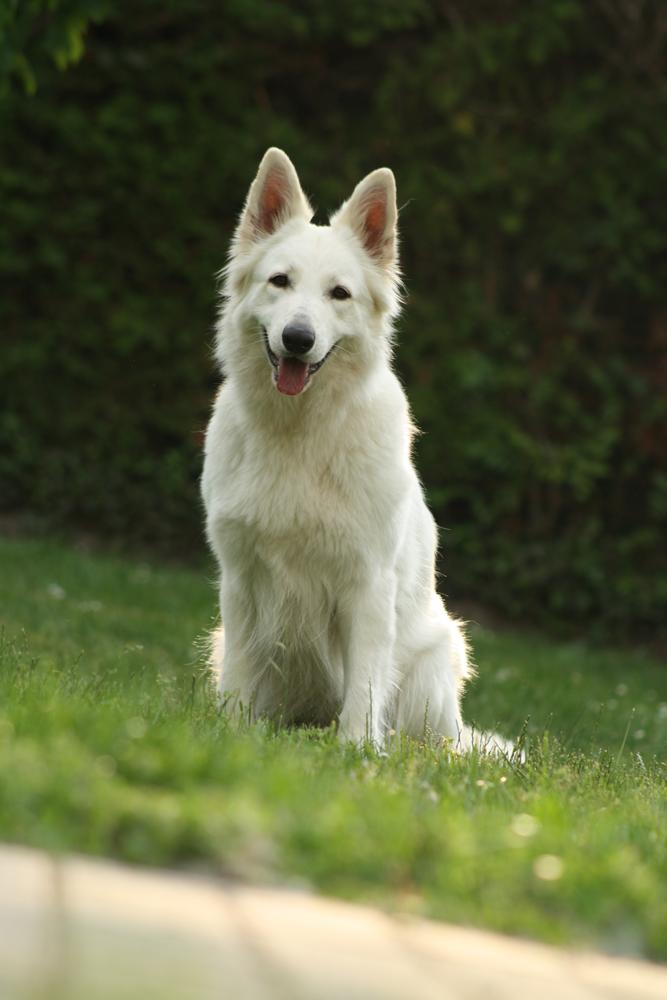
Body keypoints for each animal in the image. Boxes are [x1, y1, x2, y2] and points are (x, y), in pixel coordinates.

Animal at [202, 148, 500, 752]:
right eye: (280, 282)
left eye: (339, 294)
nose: (297, 339)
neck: (300, 432)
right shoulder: (241, 579)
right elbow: (242, 675)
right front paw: (232, 733)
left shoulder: (367, 584)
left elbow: (364, 685)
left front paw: (358, 752)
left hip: (436, 658)